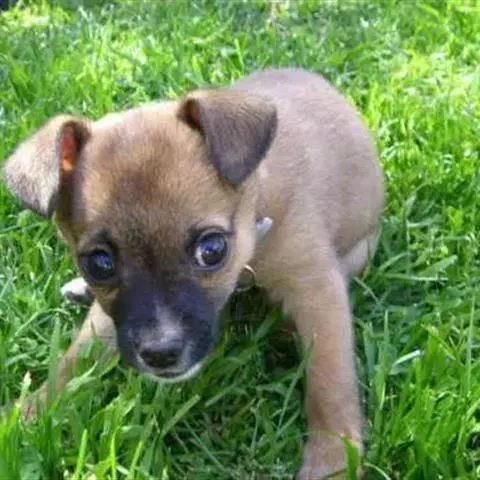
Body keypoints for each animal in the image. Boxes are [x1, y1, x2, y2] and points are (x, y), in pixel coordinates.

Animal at [3, 68, 384, 479]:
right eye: (99, 264)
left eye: (212, 250)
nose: (161, 354)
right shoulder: (114, 320)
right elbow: (75, 359)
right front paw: (28, 413)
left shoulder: (315, 287)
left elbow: (329, 379)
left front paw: (334, 457)